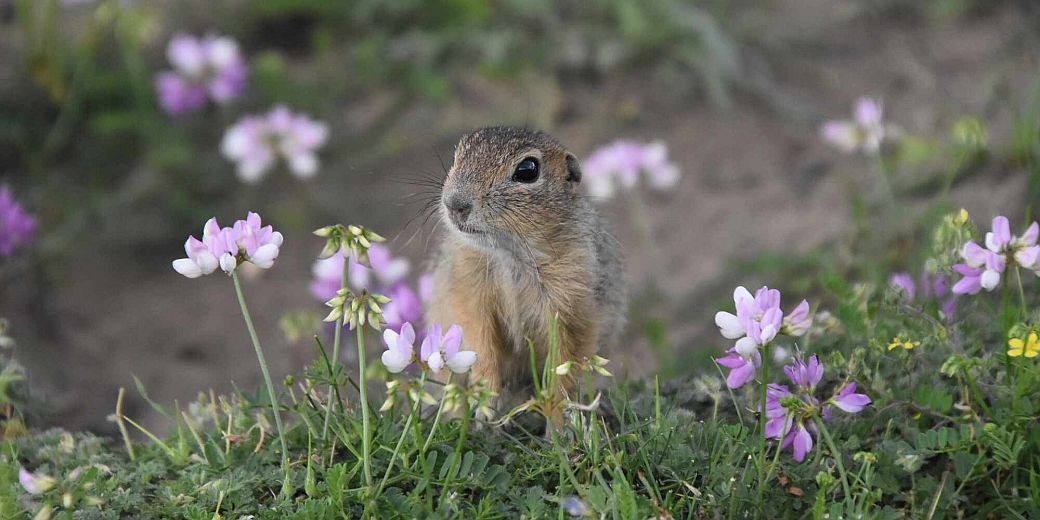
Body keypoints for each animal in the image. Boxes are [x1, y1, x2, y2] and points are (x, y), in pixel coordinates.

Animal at [426, 126, 626, 409]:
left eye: (527, 170)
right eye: (457, 156)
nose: (454, 204)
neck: (509, 251)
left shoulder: (572, 303)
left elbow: (565, 362)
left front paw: (558, 413)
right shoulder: (467, 289)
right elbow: (479, 341)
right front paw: (485, 398)